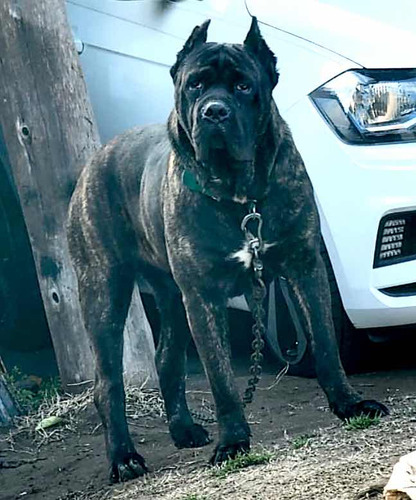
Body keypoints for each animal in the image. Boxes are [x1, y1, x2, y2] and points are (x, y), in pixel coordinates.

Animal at [66, 17, 388, 482]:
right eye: (195, 86)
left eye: (242, 86)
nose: (214, 112)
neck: (241, 195)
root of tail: (95, 160)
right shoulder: (204, 296)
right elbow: (220, 378)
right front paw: (233, 440)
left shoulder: (304, 268)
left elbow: (326, 342)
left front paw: (348, 404)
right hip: (104, 293)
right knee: (107, 383)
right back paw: (124, 457)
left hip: (171, 297)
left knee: (167, 359)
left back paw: (183, 430)